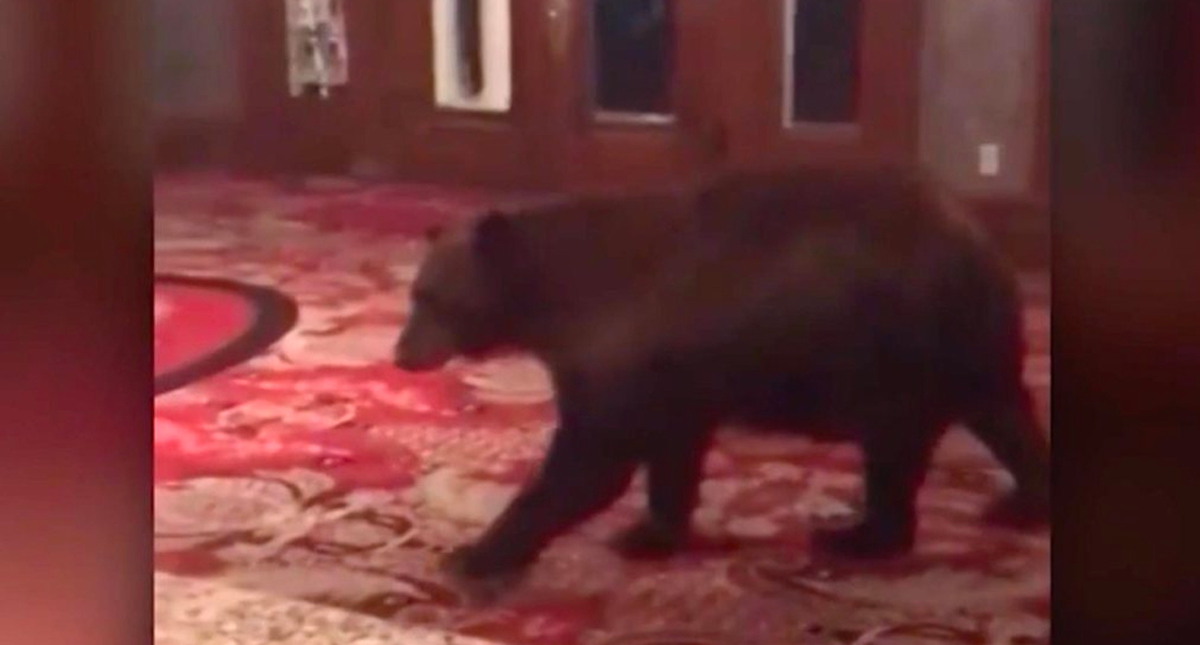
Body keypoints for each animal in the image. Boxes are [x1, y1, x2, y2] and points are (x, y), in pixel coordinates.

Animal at [393, 162, 1051, 588]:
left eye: (433, 298)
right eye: (415, 293)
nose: (402, 355)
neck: (557, 300)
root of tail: (979, 240)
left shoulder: (619, 353)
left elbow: (590, 462)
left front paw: (475, 554)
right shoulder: (674, 372)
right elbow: (672, 451)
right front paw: (652, 533)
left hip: (899, 350)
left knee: (895, 449)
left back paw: (856, 535)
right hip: (964, 350)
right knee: (1004, 415)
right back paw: (1020, 502)